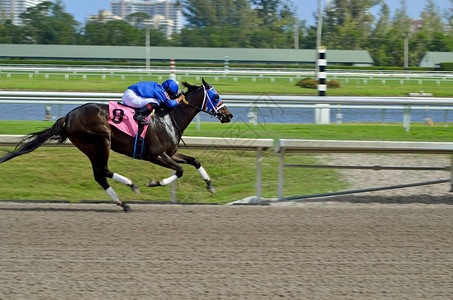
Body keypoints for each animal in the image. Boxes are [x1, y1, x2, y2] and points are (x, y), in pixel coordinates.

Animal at [0, 79, 233, 211]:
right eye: (215, 96)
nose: (228, 115)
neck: (168, 117)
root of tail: (69, 115)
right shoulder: (156, 155)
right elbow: (180, 170)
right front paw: (153, 182)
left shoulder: (170, 153)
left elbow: (194, 161)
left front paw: (210, 185)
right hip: (101, 141)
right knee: (103, 170)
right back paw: (132, 186)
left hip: (89, 147)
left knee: (99, 175)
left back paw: (123, 203)